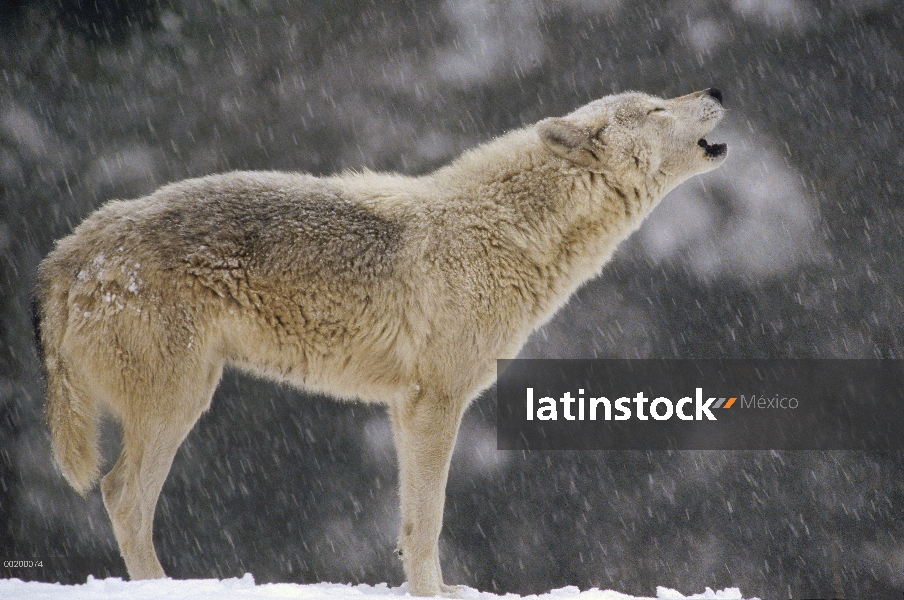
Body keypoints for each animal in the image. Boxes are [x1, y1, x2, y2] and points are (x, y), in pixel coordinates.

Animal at [33, 88, 728, 596]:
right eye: (658, 108)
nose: (716, 89)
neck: (503, 231)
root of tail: (75, 246)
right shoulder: (436, 403)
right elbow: (429, 520)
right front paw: (433, 593)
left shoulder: (404, 408)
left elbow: (410, 520)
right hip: (178, 404)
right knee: (122, 496)